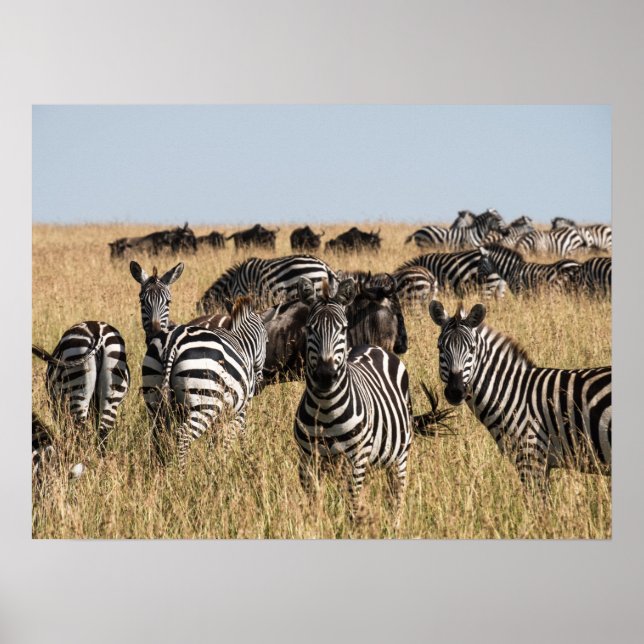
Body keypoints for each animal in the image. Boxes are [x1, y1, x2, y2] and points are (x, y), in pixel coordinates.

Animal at [32, 321, 130, 454]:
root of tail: (98, 333)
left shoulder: (57, 407)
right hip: (112, 391)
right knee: (102, 433)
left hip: (77, 387)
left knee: (80, 432)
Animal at [428, 300, 611, 494]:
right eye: (440, 348)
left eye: (472, 349)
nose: (455, 392)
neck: (513, 393)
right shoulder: (540, 463)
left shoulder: (531, 458)